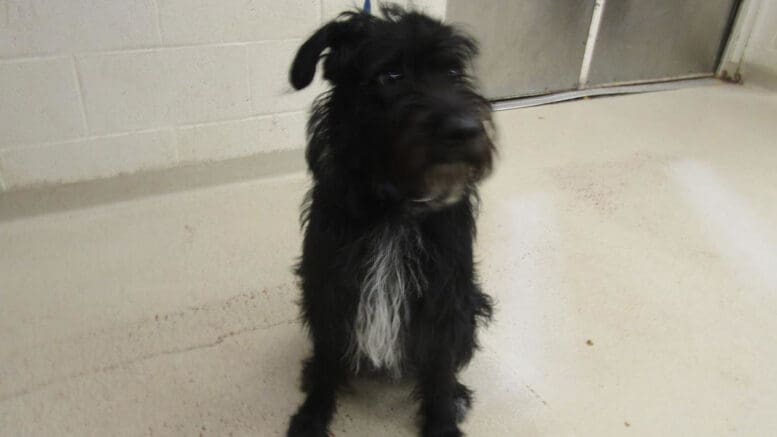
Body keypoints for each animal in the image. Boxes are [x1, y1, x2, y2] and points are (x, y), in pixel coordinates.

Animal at [288, 4, 494, 436]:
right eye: (391, 76)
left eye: (453, 72)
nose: (467, 130)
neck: (394, 208)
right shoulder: (330, 288)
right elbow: (328, 359)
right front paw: (313, 415)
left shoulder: (444, 296)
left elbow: (439, 372)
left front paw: (441, 422)